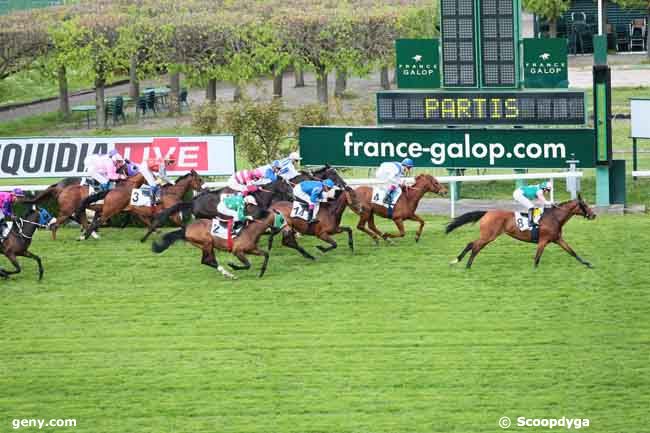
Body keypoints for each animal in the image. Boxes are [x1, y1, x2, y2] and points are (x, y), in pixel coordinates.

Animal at [151, 204, 292, 278]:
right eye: (282, 219)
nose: (289, 230)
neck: (252, 229)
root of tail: (186, 228)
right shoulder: (238, 251)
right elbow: (247, 264)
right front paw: (233, 265)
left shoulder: (251, 249)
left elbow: (266, 254)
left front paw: (262, 272)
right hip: (206, 242)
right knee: (207, 260)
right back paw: (229, 274)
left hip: (207, 245)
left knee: (208, 261)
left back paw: (227, 273)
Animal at [446, 195, 592, 268]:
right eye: (585, 205)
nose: (593, 214)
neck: (554, 217)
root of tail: (487, 212)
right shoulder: (543, 241)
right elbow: (537, 257)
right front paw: (534, 270)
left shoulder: (558, 239)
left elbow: (572, 252)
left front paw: (587, 264)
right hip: (489, 235)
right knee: (475, 246)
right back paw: (466, 264)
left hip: (487, 235)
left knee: (472, 245)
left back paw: (461, 262)